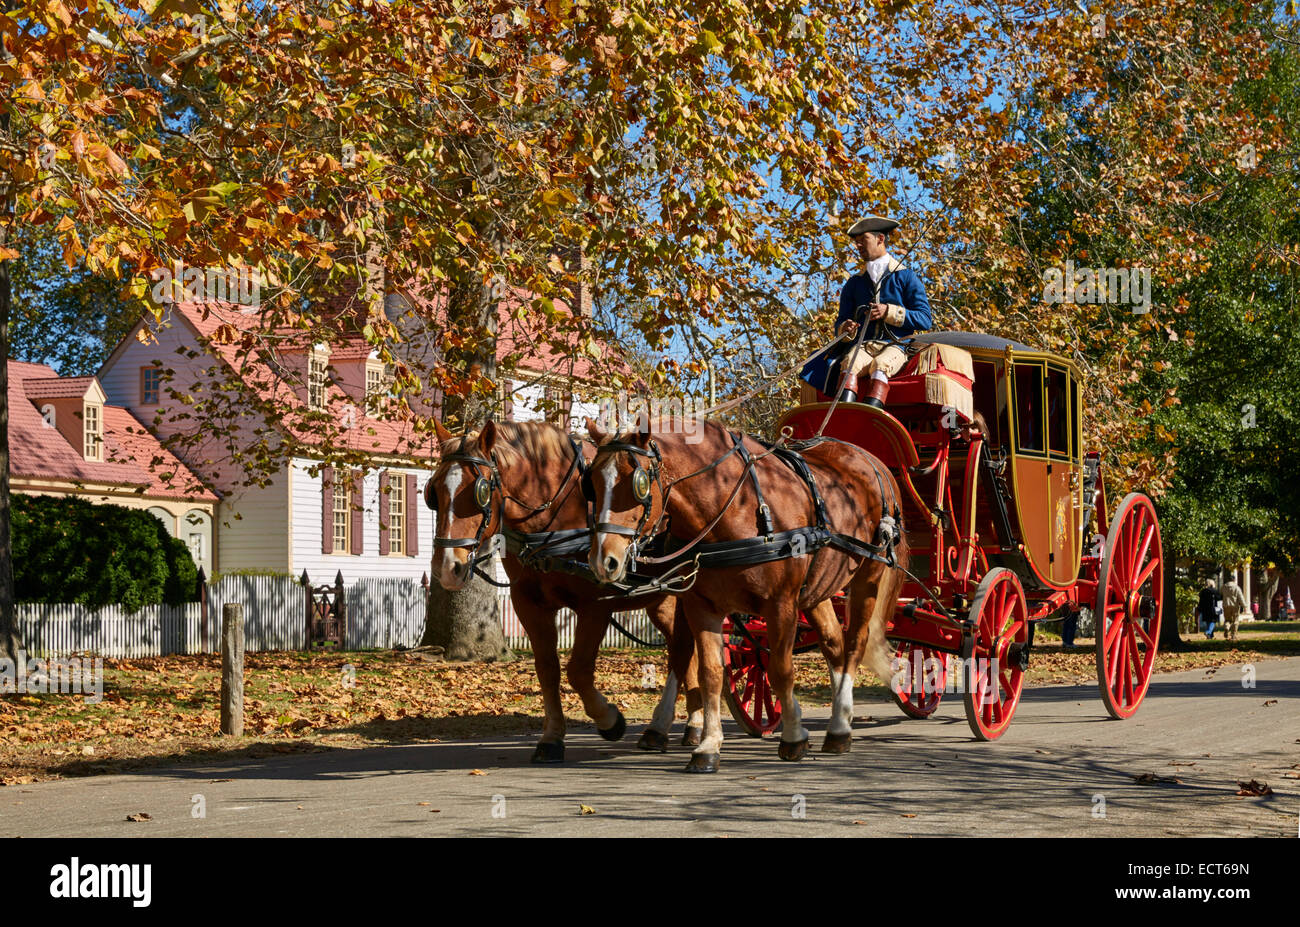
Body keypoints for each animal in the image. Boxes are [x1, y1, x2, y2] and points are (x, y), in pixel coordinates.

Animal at [428, 418, 702, 759]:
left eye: (479, 491)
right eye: (434, 491)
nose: (446, 567)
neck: (554, 520)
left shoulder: (596, 604)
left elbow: (578, 670)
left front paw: (610, 720)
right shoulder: (528, 603)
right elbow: (548, 670)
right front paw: (552, 737)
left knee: (683, 651)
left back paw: (673, 725)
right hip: (662, 601)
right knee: (686, 652)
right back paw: (681, 726)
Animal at [587, 416, 904, 769]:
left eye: (638, 484)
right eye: (592, 482)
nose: (603, 560)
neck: (737, 510)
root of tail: (872, 461)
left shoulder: (781, 604)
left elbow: (781, 670)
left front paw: (794, 736)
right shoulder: (701, 605)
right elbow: (711, 672)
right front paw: (708, 745)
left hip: (868, 576)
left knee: (854, 644)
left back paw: (838, 728)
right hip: (818, 588)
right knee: (833, 644)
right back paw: (840, 721)